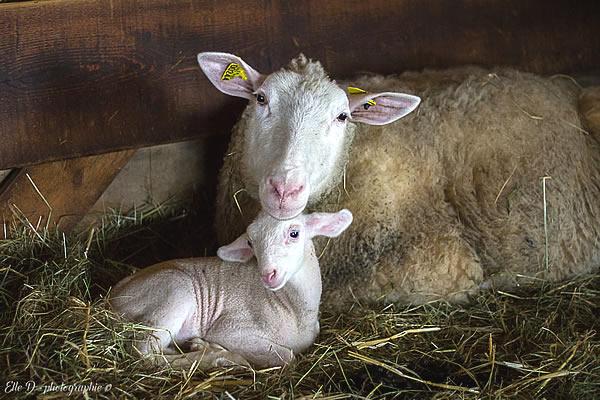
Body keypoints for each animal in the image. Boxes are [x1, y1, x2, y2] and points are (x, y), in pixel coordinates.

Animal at [109, 209, 352, 368]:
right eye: (251, 243)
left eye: (294, 233)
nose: (268, 274)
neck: (295, 311)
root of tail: (113, 294)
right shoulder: (231, 329)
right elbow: (287, 357)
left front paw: (201, 345)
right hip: (173, 294)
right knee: (144, 353)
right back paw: (220, 357)